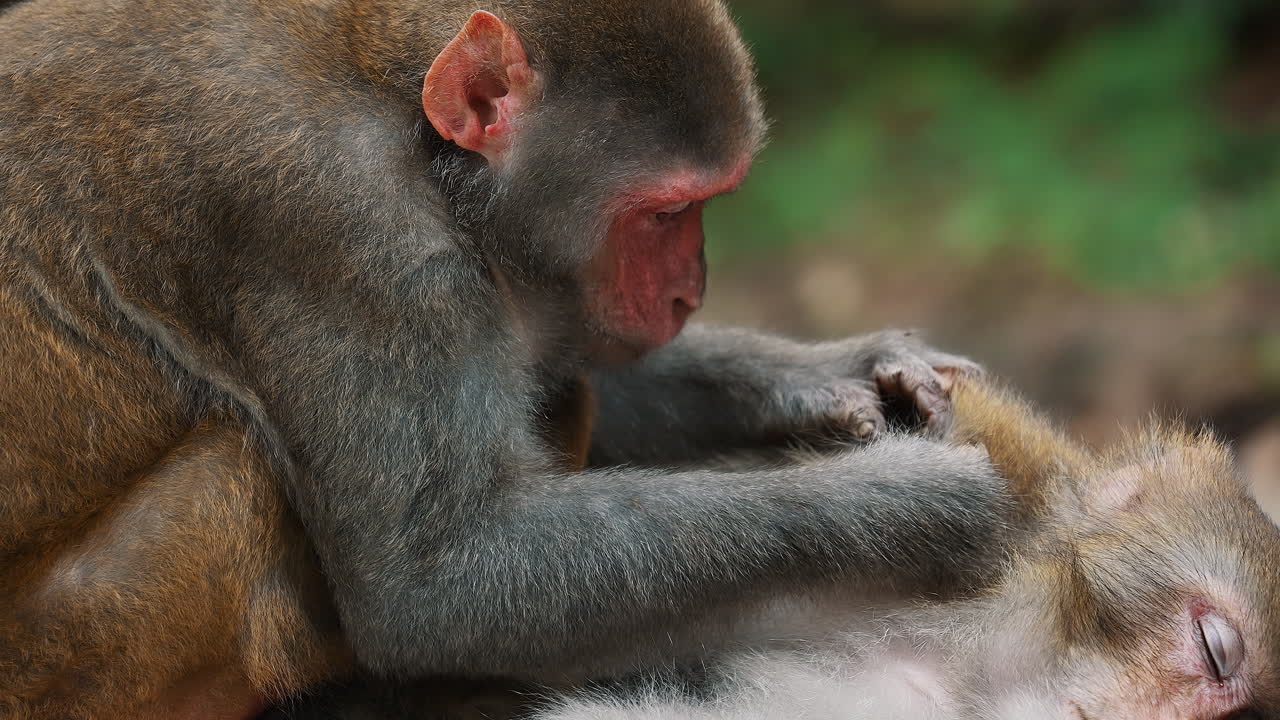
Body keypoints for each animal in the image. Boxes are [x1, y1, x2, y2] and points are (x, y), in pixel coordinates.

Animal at [0, 1, 1009, 718]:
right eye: (664, 212)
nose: (689, 294)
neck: (389, 91)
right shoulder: (341, 225)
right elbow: (440, 583)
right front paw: (907, 509)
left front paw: (828, 372)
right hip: (78, 654)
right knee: (239, 473)